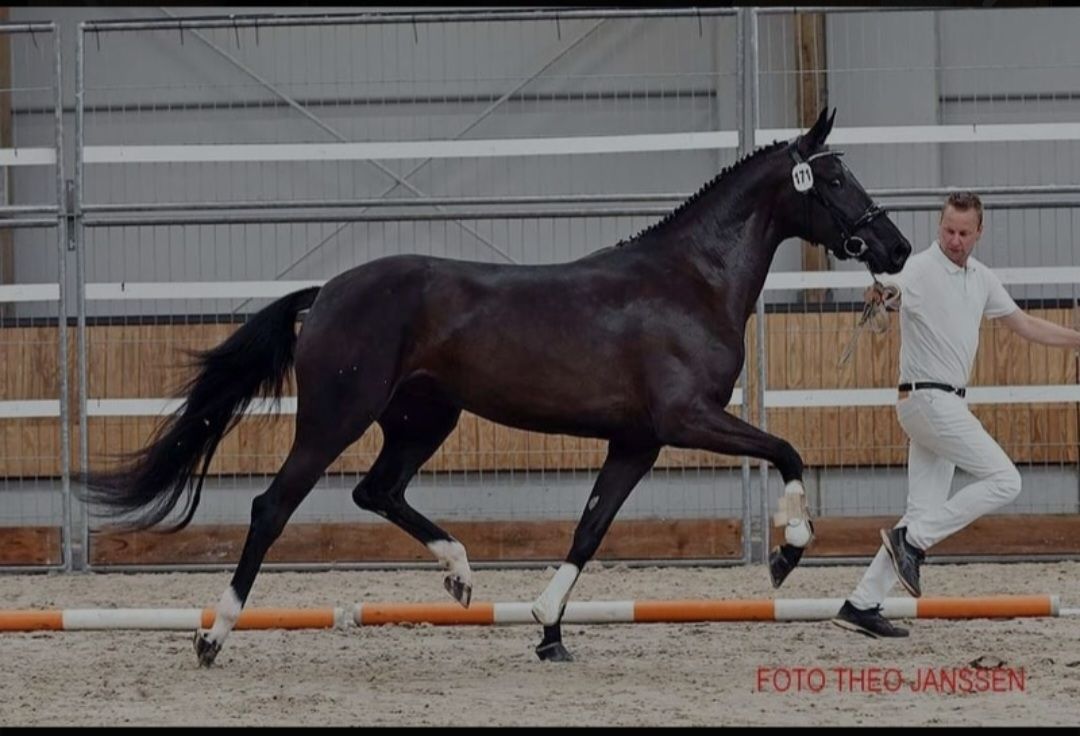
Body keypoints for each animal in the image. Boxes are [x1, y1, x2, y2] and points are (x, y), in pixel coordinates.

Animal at [80, 108, 912, 666]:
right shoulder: (687, 418)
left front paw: (548, 629)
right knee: (272, 507)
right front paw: (787, 554)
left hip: (424, 420)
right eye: (835, 177)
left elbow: (590, 529)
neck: (689, 282)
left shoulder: (636, 441)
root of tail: (327, 295)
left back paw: (459, 574)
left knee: (377, 491)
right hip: (335, 418)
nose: (897, 247)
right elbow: (788, 450)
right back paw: (212, 636)